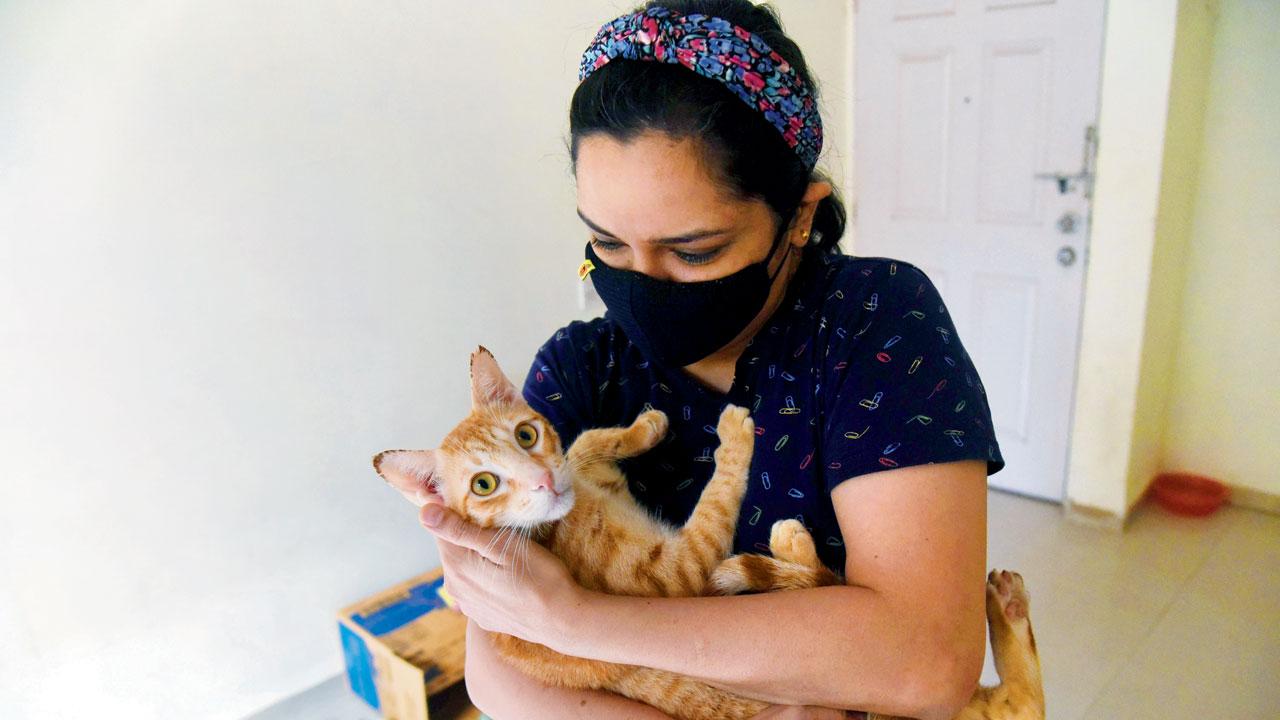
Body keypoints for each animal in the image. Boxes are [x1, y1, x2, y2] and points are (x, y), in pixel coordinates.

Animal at [371, 345, 1039, 712]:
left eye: (527, 434)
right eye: (484, 484)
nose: (540, 481)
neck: (574, 512)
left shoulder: (588, 473)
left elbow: (586, 442)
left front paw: (642, 429)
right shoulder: (674, 573)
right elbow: (716, 502)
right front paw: (735, 437)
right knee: (1021, 706)